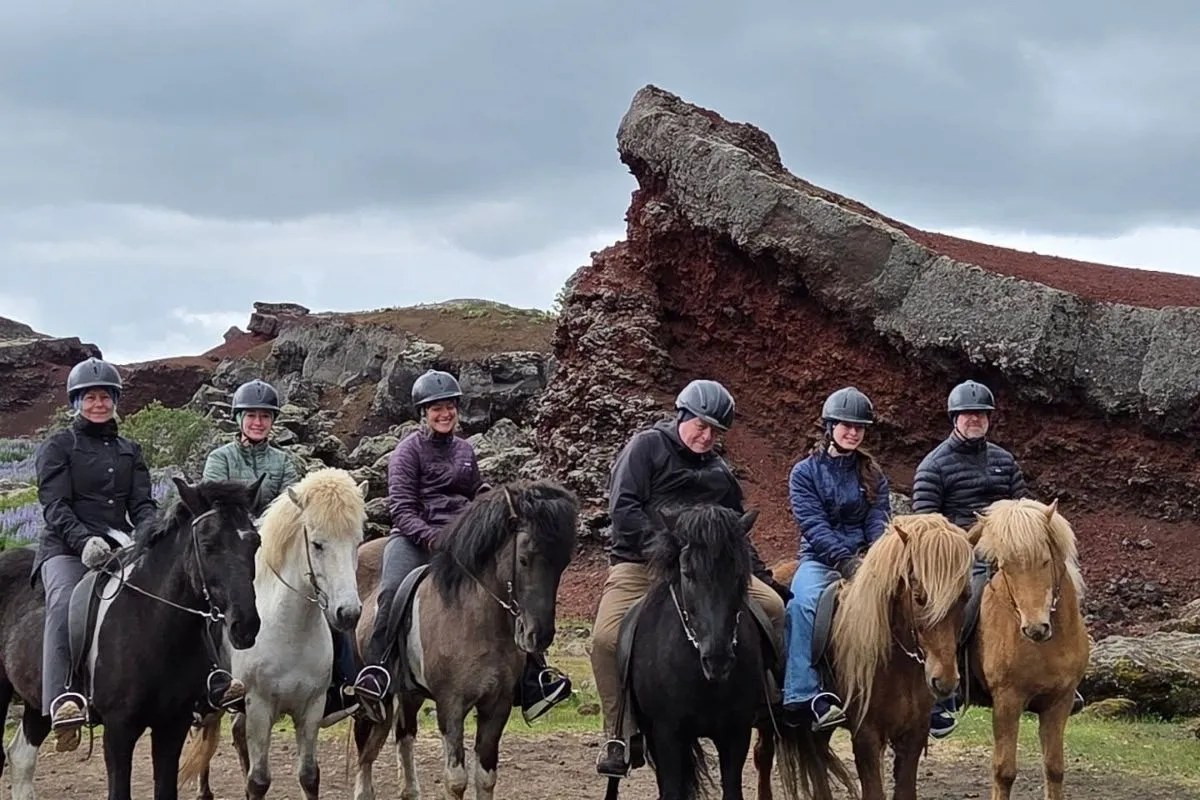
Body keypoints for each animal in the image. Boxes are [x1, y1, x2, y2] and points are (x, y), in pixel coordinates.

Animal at [0, 476, 264, 800]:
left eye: (255, 542)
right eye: (207, 544)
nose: (245, 625)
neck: (151, 624)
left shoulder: (172, 725)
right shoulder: (118, 730)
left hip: (37, 703)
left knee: (21, 759)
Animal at [177, 468, 369, 800]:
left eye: (357, 542)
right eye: (317, 544)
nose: (348, 613)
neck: (290, 632)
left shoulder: (312, 707)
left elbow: (309, 776)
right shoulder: (259, 707)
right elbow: (259, 781)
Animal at [347, 479, 579, 800]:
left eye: (563, 563)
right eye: (524, 559)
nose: (538, 635)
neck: (474, 620)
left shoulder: (497, 705)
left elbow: (486, 777)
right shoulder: (452, 707)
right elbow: (456, 780)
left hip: (409, 691)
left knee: (404, 734)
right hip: (373, 697)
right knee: (365, 745)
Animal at [754, 513, 978, 800]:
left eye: (965, 596)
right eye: (919, 597)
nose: (945, 680)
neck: (897, 665)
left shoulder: (913, 735)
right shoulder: (866, 736)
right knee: (763, 755)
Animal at [964, 498, 1089, 800]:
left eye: (1045, 561)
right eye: (1005, 566)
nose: (1035, 628)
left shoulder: (1059, 702)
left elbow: (1054, 768)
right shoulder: (1007, 701)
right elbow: (1004, 771)